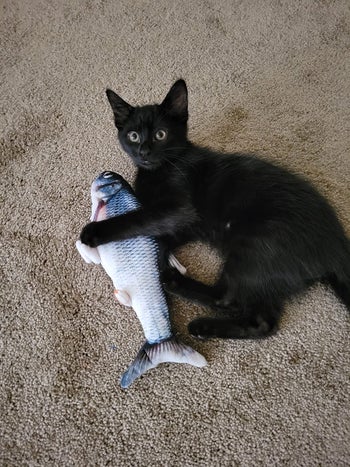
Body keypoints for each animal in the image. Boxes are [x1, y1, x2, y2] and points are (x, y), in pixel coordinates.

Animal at [80, 78, 350, 338]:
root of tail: (337, 247)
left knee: (228, 299)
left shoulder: (180, 208)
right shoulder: (186, 223)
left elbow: (137, 218)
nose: (144, 151)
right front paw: (159, 252)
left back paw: (174, 282)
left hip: (256, 245)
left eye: (160, 135)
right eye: (133, 136)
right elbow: (161, 231)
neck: (160, 168)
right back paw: (204, 326)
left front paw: (94, 231)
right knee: (263, 322)